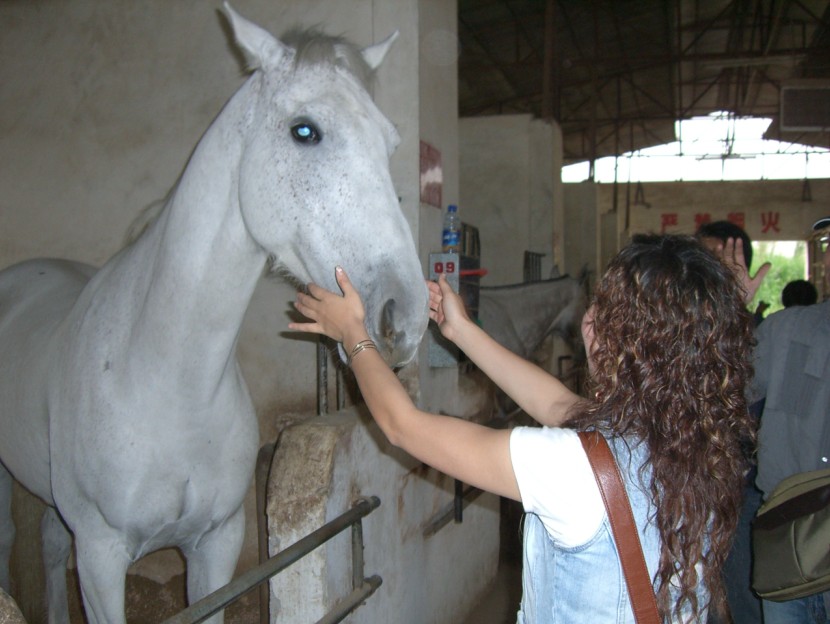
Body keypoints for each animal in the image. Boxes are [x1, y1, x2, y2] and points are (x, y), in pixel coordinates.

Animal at [0, 6, 428, 624]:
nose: (407, 316)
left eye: (391, 142)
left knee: (52, 545)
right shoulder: (102, 558)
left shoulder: (217, 545)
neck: (165, 382)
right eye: (304, 130)